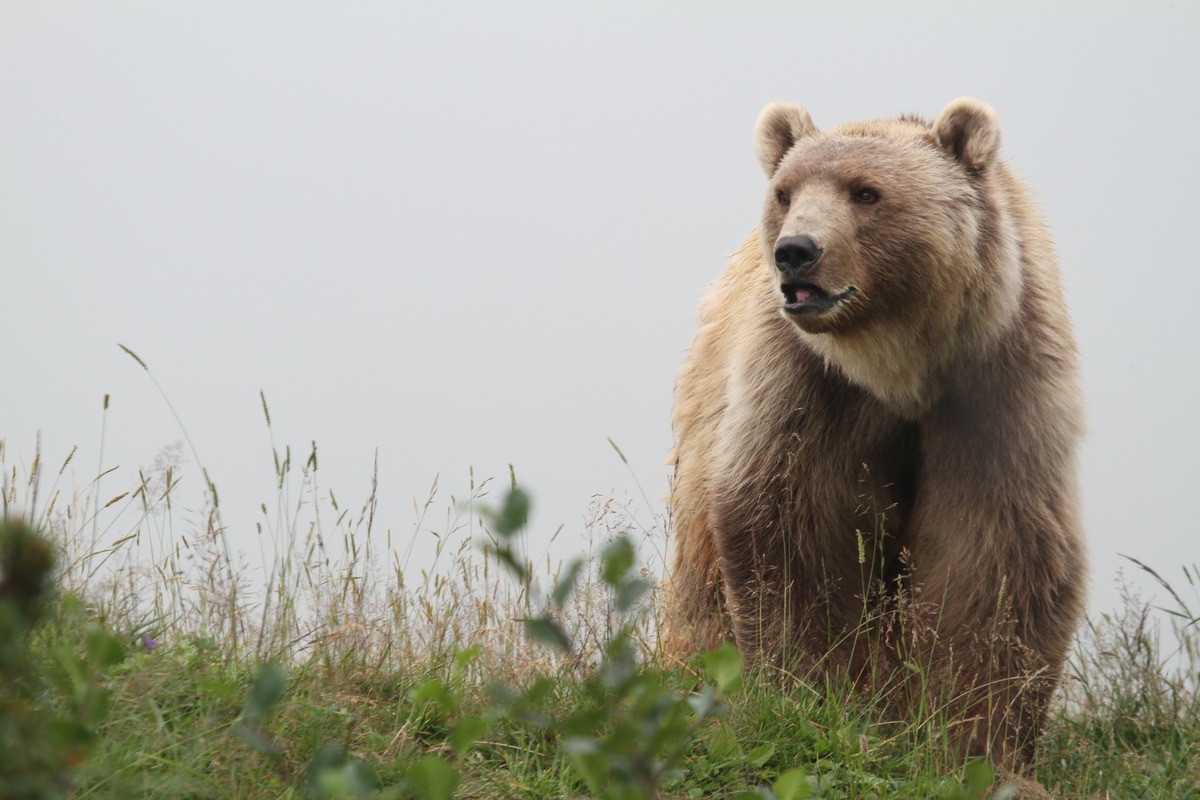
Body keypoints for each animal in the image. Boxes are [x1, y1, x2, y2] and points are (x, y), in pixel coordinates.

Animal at [667, 97, 1089, 786]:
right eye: (785, 193)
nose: (795, 252)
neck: (902, 368)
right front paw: (818, 698)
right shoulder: (808, 387)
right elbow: (798, 528)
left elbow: (995, 553)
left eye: (866, 192)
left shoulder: (998, 386)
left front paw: (975, 746)